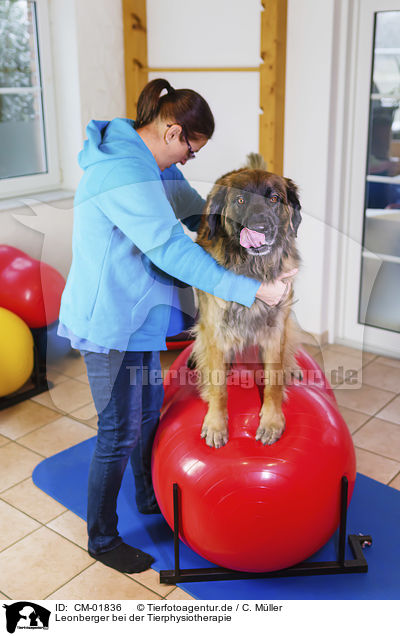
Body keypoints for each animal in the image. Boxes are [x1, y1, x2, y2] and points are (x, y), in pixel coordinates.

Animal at [190, 154, 300, 448]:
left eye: (274, 198)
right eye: (240, 200)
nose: (261, 228)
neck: (253, 270)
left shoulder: (275, 330)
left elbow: (273, 382)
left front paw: (271, 421)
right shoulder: (215, 331)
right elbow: (219, 388)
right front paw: (216, 424)